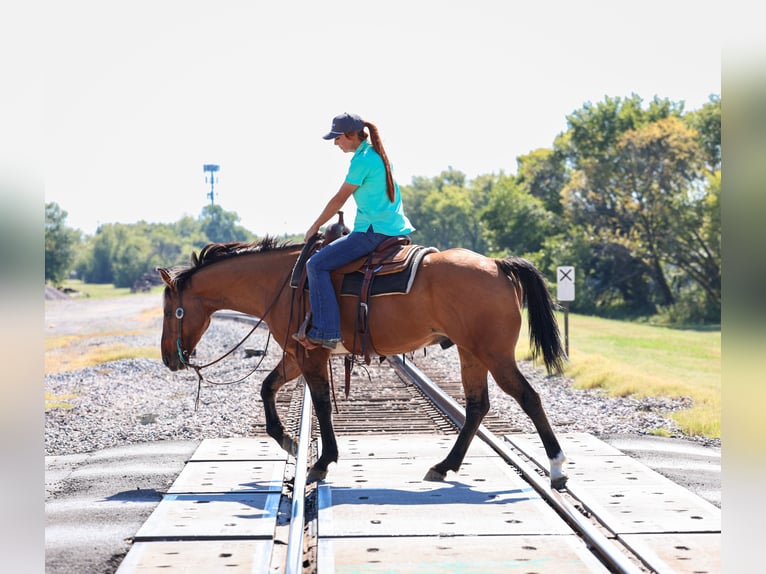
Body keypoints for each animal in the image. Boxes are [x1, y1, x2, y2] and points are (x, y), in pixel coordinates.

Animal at [157, 237, 569, 489]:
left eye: (168, 310)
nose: (168, 358)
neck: (282, 282)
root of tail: (498, 265)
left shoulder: (311, 354)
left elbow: (322, 403)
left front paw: (322, 462)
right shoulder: (295, 354)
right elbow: (267, 387)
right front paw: (287, 440)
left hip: (494, 355)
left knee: (528, 397)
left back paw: (557, 467)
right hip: (471, 354)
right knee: (477, 406)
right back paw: (444, 466)